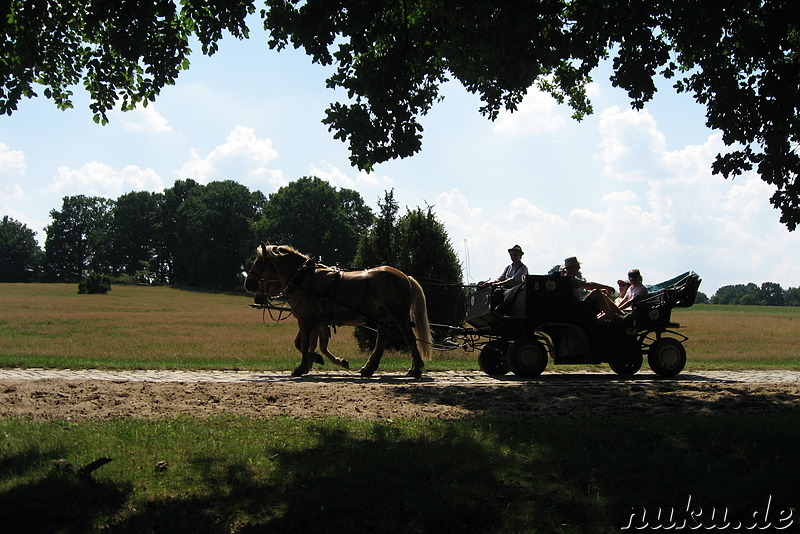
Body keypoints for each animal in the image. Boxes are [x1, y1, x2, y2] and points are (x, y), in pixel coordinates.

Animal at [244, 245, 432, 378]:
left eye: (259, 262)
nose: (248, 284)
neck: (303, 277)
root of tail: (405, 276)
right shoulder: (315, 320)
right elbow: (306, 344)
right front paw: (313, 361)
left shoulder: (306, 320)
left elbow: (304, 343)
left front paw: (302, 367)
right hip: (384, 318)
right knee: (381, 342)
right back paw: (369, 369)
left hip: (399, 316)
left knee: (410, 338)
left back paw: (415, 370)